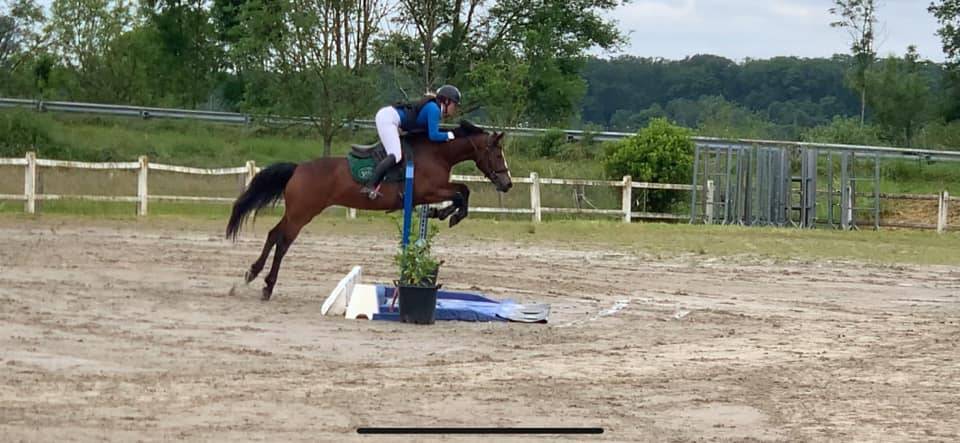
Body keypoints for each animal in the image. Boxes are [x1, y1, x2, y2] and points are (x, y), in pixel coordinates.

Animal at [224, 120, 513, 301]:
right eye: (498, 154)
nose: (507, 184)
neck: (437, 153)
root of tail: (298, 169)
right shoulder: (428, 191)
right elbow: (461, 193)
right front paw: (449, 215)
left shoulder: (434, 190)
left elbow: (463, 191)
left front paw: (442, 214)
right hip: (302, 213)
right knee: (283, 241)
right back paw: (267, 286)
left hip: (296, 212)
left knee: (274, 234)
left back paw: (252, 274)